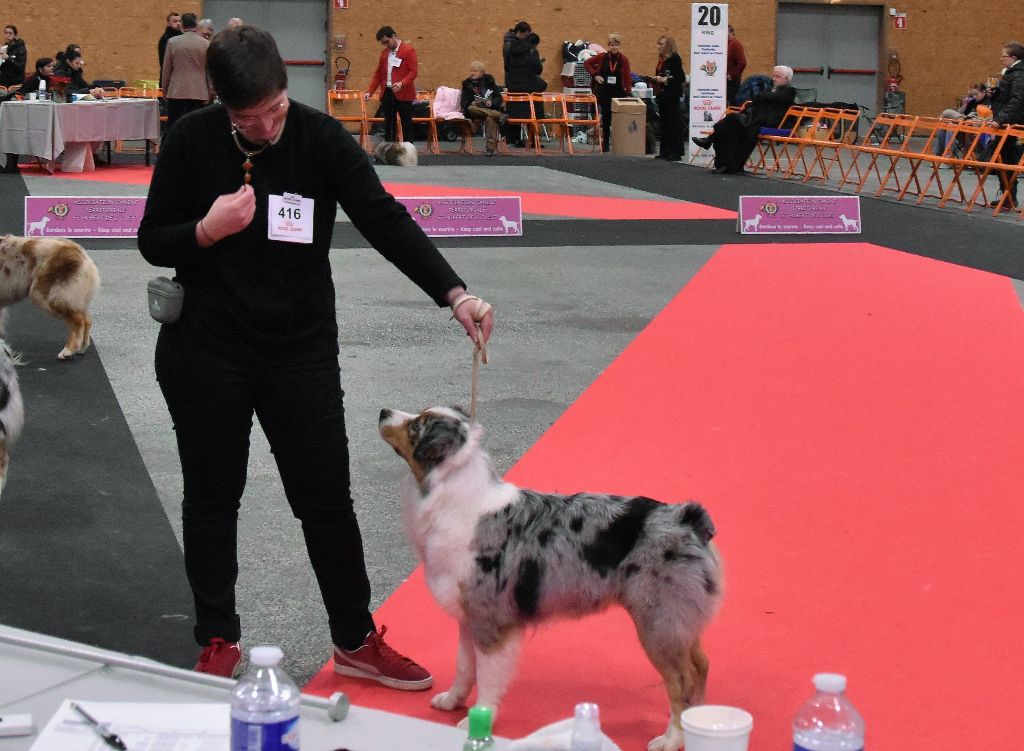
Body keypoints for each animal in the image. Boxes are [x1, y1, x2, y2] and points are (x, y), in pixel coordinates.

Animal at [379, 406, 722, 751]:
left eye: (416, 426)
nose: (383, 411)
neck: (452, 499)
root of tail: (687, 518)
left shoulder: (491, 621)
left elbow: (488, 678)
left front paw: (480, 718)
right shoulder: (467, 617)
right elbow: (463, 666)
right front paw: (452, 701)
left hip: (658, 623)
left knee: (683, 679)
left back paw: (672, 738)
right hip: (678, 620)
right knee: (701, 665)